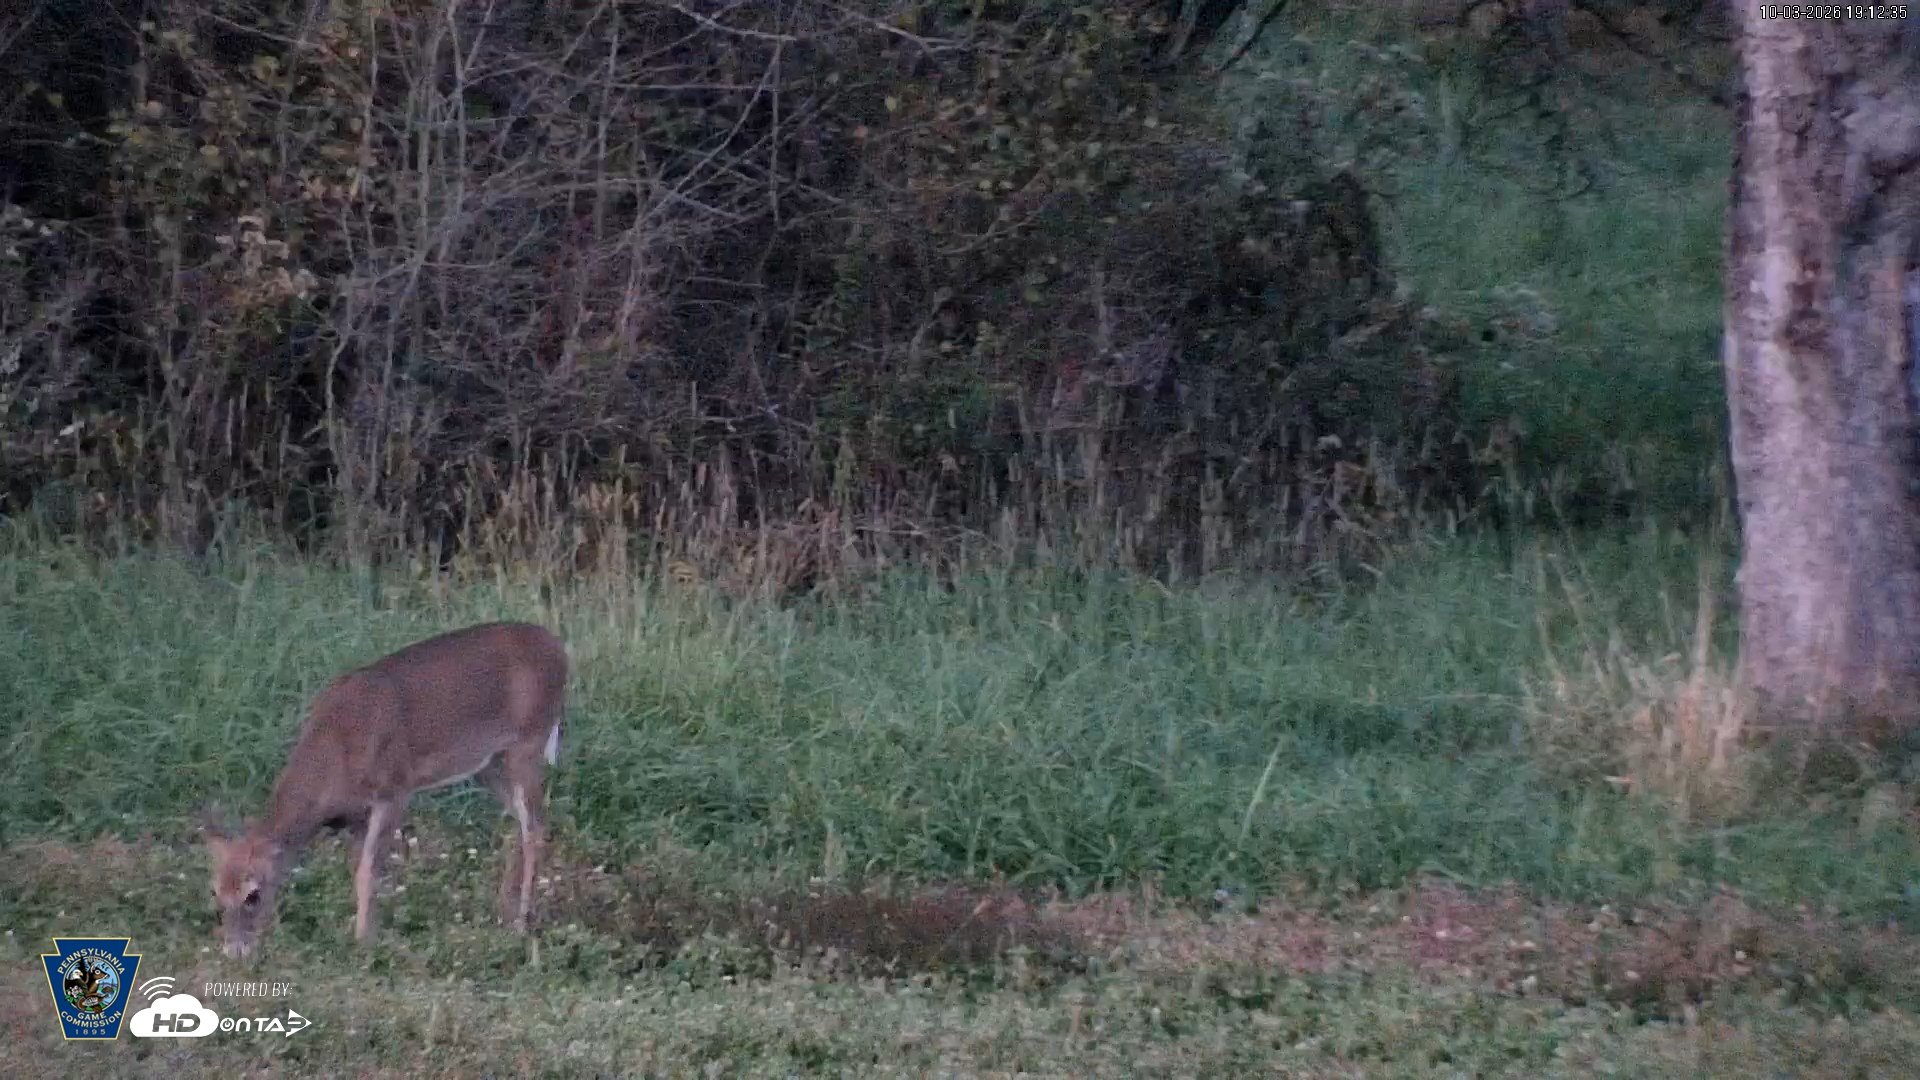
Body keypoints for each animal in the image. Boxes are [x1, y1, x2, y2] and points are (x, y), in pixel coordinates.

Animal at [203, 622, 569, 960]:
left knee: (536, 826)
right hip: (490, 763)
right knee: (521, 822)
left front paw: (363, 942)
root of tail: (559, 648)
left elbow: (368, 871)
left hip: (528, 742)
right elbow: (358, 870)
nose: (234, 951)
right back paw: (504, 911)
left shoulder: (394, 790)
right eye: (216, 892)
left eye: (253, 894)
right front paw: (368, 932)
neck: (337, 748)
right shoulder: (356, 813)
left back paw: (522, 923)